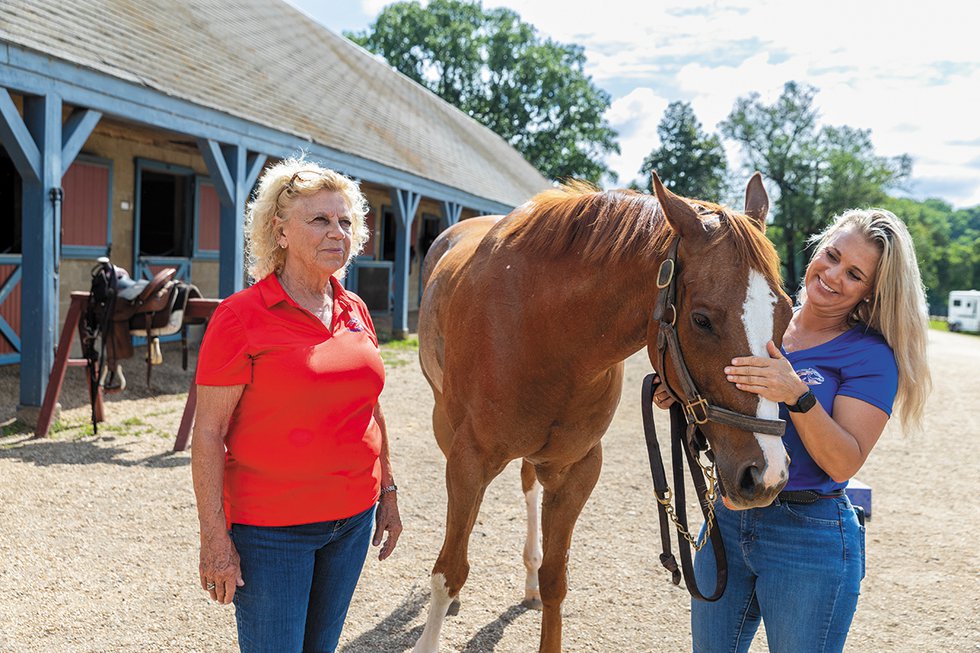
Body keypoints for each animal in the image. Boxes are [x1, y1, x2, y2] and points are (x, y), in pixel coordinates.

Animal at [412, 171, 788, 648]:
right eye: (702, 319)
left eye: (787, 313)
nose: (768, 475)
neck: (543, 329)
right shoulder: (468, 462)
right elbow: (449, 571)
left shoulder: (578, 469)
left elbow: (556, 579)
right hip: (446, 428)